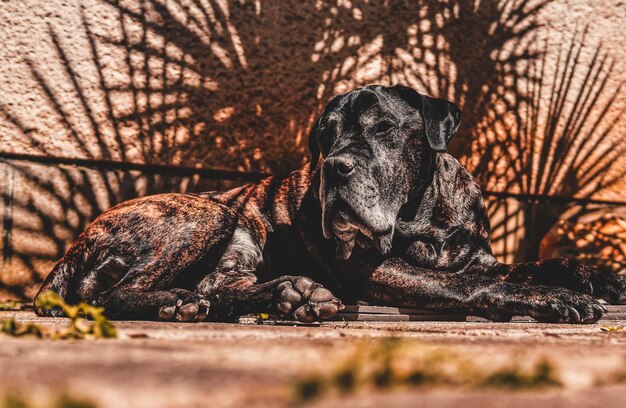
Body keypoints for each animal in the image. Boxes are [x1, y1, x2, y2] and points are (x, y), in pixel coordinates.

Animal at [35, 84, 624, 324]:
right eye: (325, 137)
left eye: (382, 128)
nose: (335, 166)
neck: (424, 216)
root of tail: (73, 247)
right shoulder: (377, 270)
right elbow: (474, 285)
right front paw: (553, 297)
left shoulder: (478, 254)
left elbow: (522, 263)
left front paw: (595, 276)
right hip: (210, 212)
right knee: (116, 293)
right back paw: (177, 303)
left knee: (219, 288)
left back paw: (295, 295)